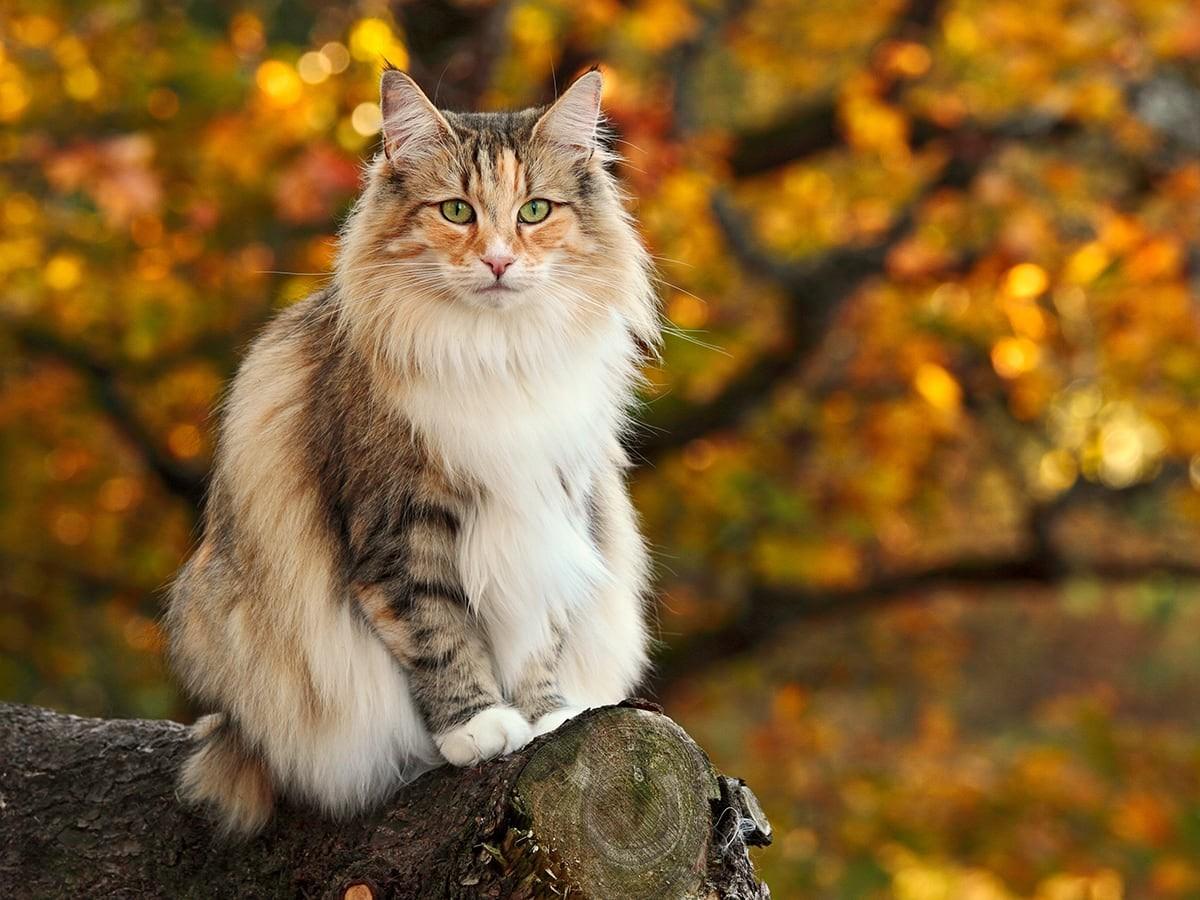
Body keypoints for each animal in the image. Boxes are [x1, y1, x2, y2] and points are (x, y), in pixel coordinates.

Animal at [162, 68, 657, 840]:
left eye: (535, 211)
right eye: (456, 211)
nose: (498, 260)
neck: (497, 354)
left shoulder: (553, 509)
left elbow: (539, 635)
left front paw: (546, 717)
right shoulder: (399, 525)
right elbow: (439, 632)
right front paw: (479, 727)